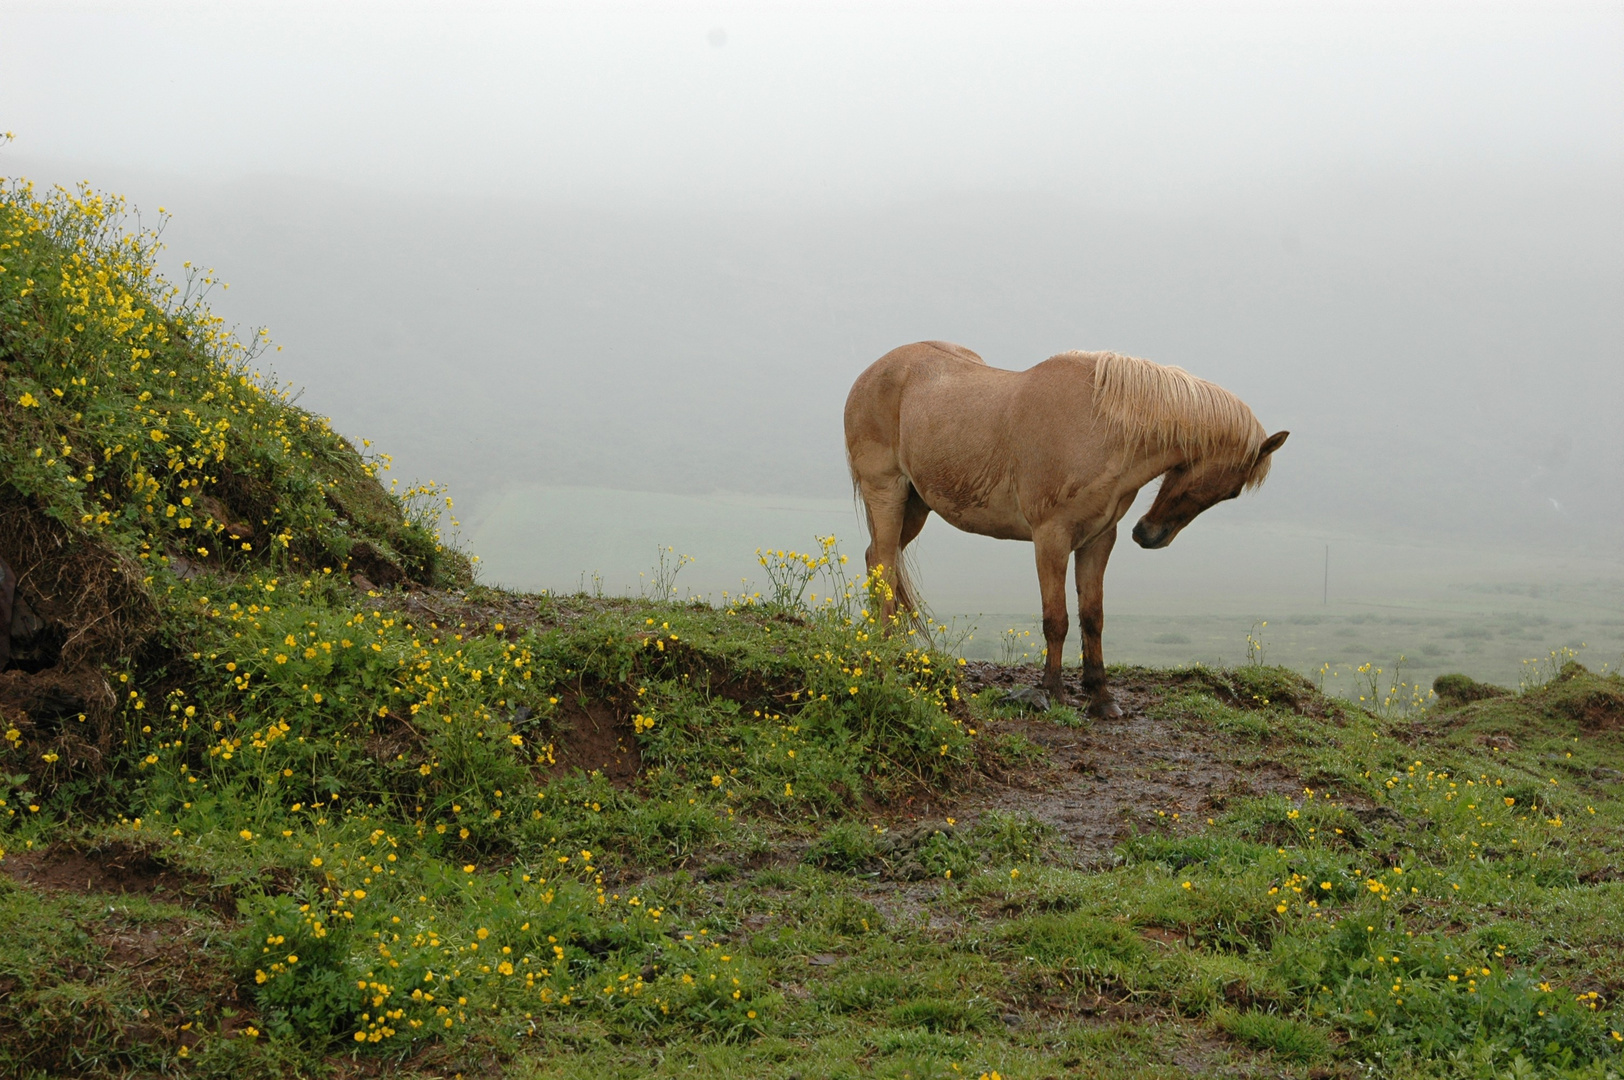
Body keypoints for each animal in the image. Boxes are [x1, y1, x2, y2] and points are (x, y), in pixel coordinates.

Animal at [844, 337, 1286, 714]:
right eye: (1232, 490)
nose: (1149, 535)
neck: (1099, 427)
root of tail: (870, 375)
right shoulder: (1051, 538)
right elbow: (1056, 619)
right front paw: (1050, 692)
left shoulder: (1098, 539)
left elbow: (1093, 616)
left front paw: (1101, 697)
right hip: (887, 493)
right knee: (882, 561)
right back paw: (882, 650)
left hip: (916, 506)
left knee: (879, 560)